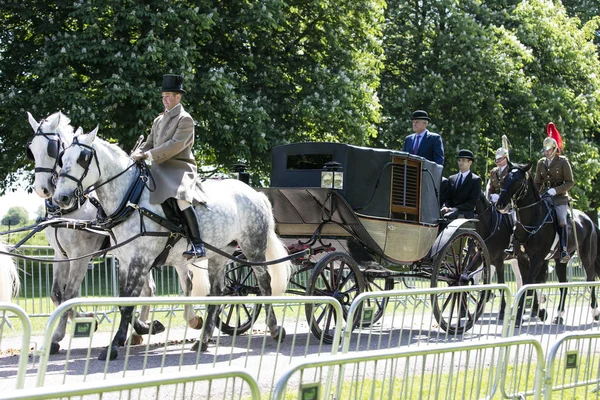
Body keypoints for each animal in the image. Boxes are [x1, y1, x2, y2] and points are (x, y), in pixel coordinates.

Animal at [26, 112, 171, 354]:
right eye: (31, 149)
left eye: (52, 150)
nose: (42, 189)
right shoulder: (60, 255)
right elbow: (58, 295)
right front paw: (68, 328)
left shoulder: (80, 255)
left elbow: (70, 294)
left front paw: (71, 328)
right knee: (148, 289)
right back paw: (140, 328)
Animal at [52, 127, 292, 360]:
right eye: (62, 157)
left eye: (83, 158)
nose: (60, 198)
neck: (132, 200)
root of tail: (255, 193)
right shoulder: (124, 261)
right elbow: (122, 301)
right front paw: (131, 334)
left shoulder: (140, 260)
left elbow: (128, 303)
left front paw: (114, 345)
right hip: (219, 255)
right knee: (217, 291)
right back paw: (203, 340)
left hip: (253, 248)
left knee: (265, 284)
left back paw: (274, 329)